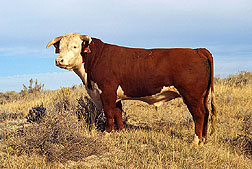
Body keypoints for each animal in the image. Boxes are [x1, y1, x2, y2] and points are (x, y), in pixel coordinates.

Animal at [47, 32, 217, 145]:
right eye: (60, 47)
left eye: (75, 46)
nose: (59, 60)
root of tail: (198, 50)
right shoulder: (114, 95)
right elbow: (118, 113)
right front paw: (120, 131)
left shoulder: (107, 92)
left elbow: (109, 113)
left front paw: (107, 133)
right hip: (202, 96)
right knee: (206, 112)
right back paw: (204, 139)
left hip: (192, 95)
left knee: (199, 115)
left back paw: (195, 141)